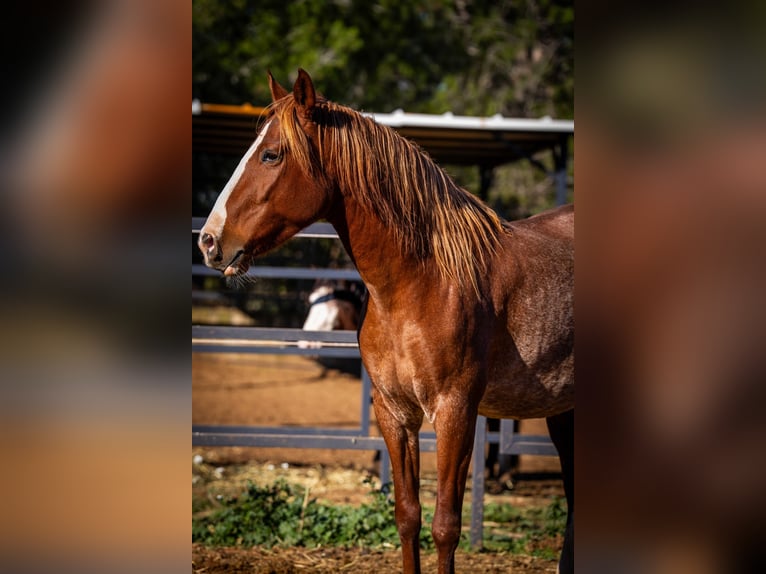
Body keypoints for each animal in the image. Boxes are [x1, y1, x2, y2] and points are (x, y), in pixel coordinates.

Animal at [198, 69, 574, 574]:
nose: (208, 240)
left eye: (271, 154)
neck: (420, 284)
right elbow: (407, 516)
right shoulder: (394, 414)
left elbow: (445, 525)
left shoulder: (456, 413)